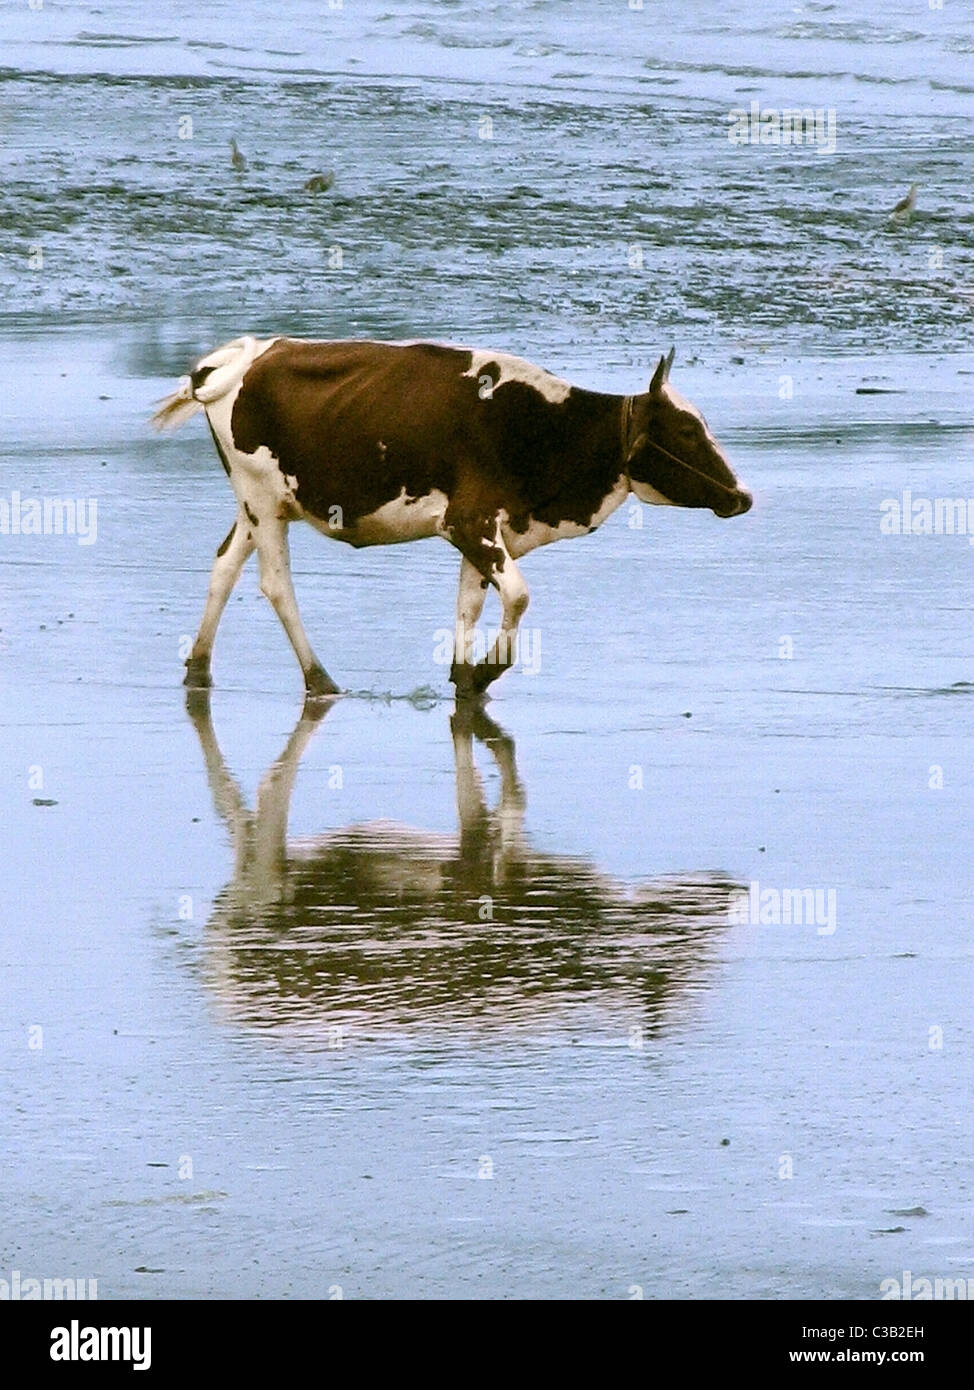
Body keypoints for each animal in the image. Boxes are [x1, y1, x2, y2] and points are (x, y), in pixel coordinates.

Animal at [152, 334, 750, 700]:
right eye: (688, 430)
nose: (743, 495)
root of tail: (242, 355)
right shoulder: (469, 520)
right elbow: (519, 597)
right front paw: (487, 671)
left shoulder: (485, 529)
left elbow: (470, 604)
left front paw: (464, 678)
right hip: (261, 499)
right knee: (275, 583)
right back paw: (320, 680)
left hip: (260, 505)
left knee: (224, 566)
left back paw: (198, 667)